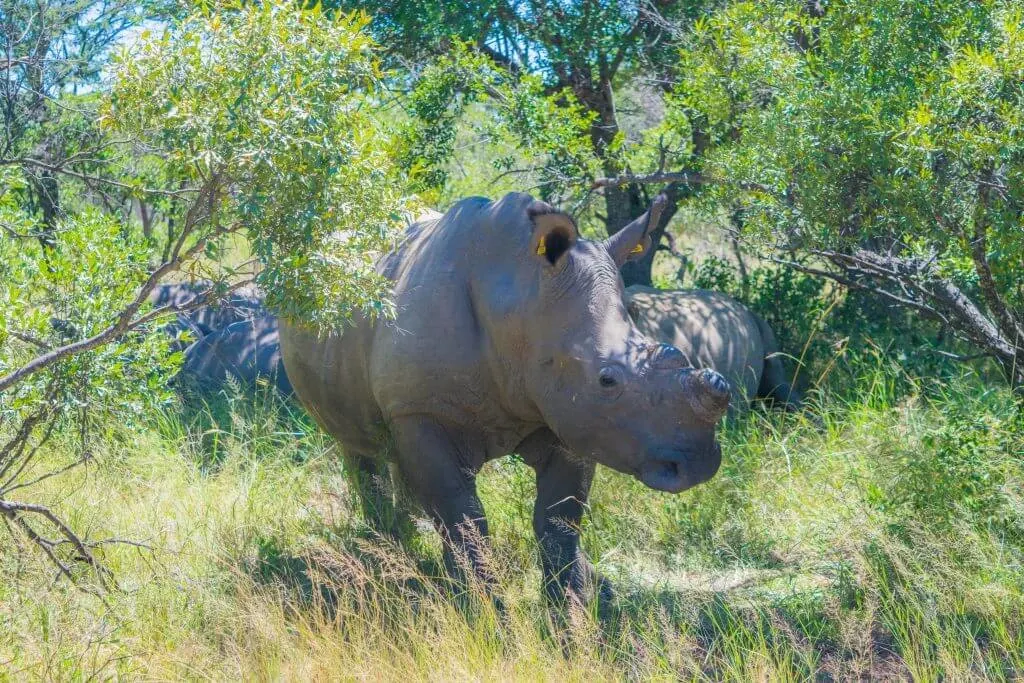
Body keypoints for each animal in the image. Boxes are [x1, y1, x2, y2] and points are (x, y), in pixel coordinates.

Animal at [280, 193, 730, 604]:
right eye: (607, 380)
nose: (697, 462)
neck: (518, 298)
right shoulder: (421, 410)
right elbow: (464, 516)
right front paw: (484, 612)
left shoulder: (570, 416)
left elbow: (559, 521)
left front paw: (569, 616)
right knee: (358, 445)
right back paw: (386, 544)